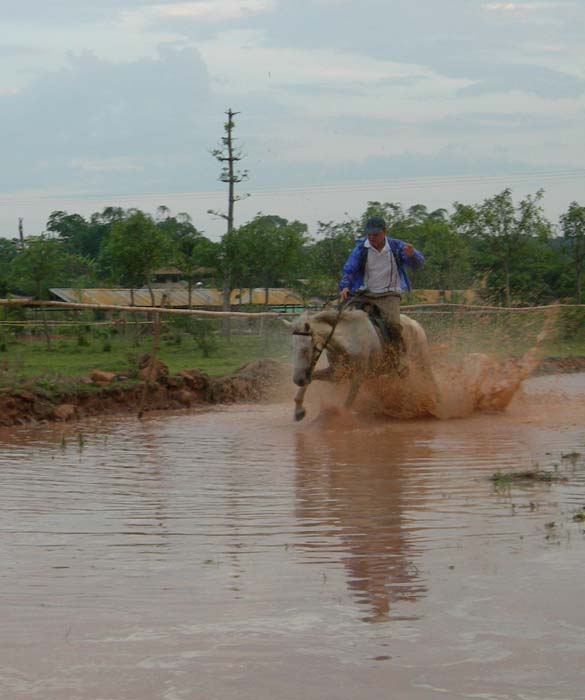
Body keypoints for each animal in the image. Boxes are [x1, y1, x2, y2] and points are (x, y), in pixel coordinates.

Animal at [286, 310, 436, 422]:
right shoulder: (335, 373)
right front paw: (299, 410)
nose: (298, 379)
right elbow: (311, 379)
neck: (349, 341)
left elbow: (347, 404)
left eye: (305, 349)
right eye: (292, 347)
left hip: (422, 363)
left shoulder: (358, 377)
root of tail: (415, 324)